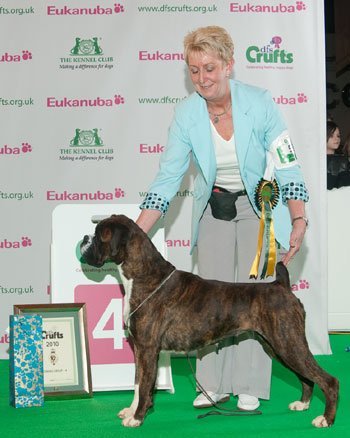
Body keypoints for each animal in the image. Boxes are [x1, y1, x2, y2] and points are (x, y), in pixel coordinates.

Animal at [80, 214, 340, 430]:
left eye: (99, 234)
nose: (84, 238)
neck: (144, 276)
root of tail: (281, 285)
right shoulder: (139, 350)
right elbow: (136, 383)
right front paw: (131, 411)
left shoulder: (147, 349)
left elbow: (144, 385)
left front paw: (137, 418)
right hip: (277, 346)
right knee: (306, 377)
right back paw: (302, 404)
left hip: (288, 343)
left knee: (328, 379)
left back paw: (325, 419)